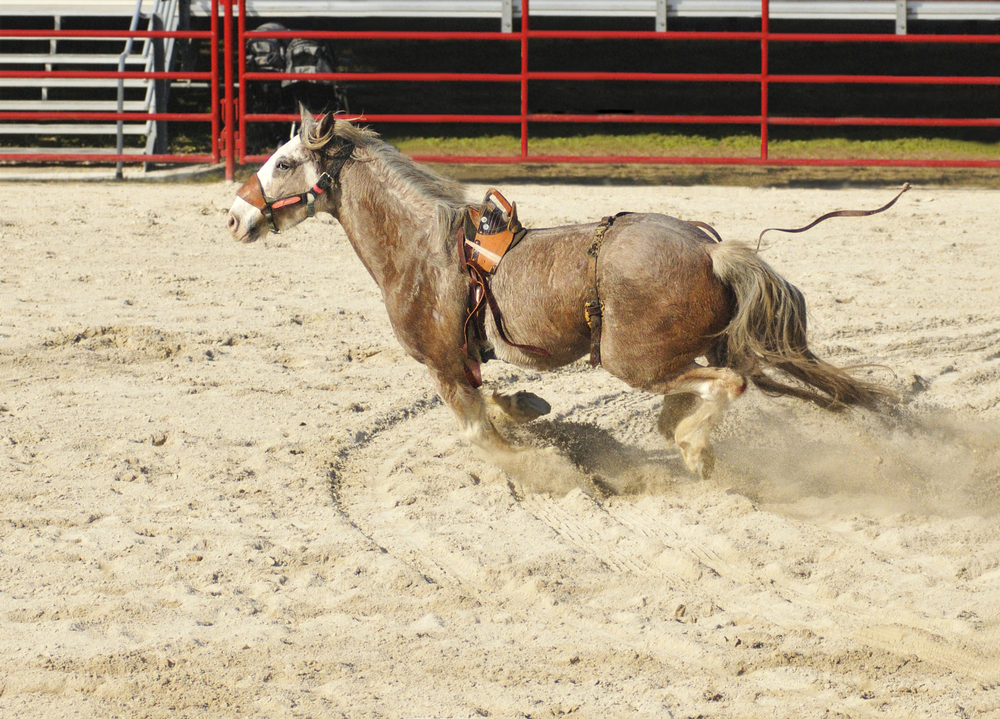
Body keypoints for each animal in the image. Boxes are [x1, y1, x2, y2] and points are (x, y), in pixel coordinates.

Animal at [229, 109, 892, 480]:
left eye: (284, 163)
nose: (236, 216)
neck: (424, 249)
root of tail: (711, 250)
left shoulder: (443, 363)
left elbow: (478, 431)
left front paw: (540, 464)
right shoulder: (466, 360)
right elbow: (495, 403)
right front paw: (528, 406)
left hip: (637, 361)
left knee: (725, 385)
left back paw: (694, 447)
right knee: (710, 388)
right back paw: (683, 431)